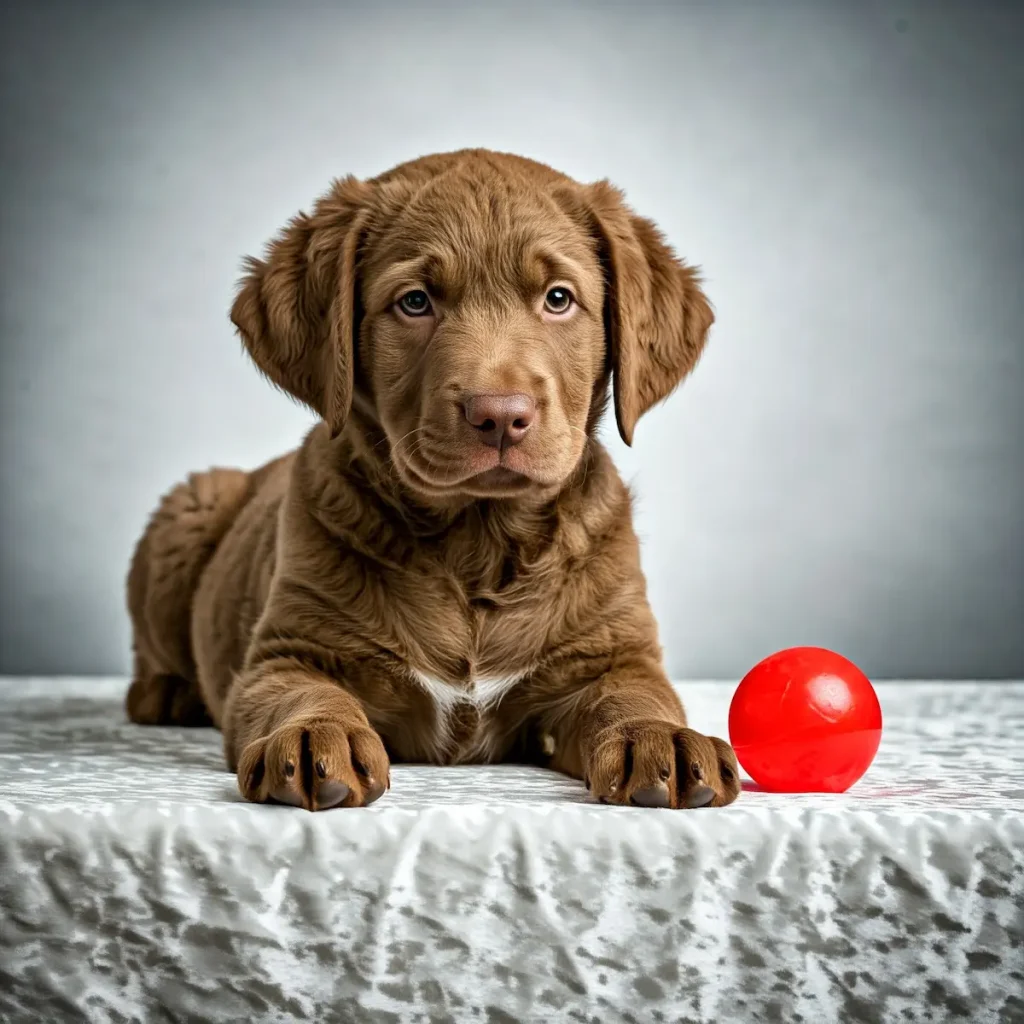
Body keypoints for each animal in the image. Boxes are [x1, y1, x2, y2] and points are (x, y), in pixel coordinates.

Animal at [125, 148, 745, 811]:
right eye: (416, 302)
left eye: (558, 298)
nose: (499, 414)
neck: (477, 540)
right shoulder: (287, 652)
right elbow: (302, 694)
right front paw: (313, 736)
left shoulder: (613, 655)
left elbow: (635, 695)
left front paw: (662, 738)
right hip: (191, 506)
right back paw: (167, 694)